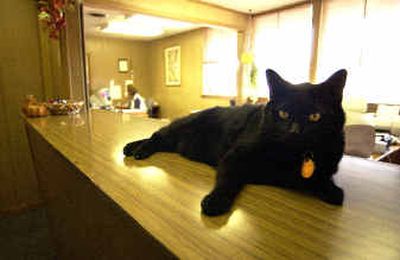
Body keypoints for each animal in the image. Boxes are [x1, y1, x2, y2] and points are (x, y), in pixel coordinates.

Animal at [122, 68, 346, 215]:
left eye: (315, 116)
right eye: (283, 114)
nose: (295, 131)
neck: (290, 157)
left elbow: (322, 177)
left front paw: (332, 190)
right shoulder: (234, 156)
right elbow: (227, 179)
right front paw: (216, 201)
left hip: (175, 143)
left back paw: (131, 148)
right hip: (176, 131)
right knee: (156, 136)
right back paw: (137, 150)